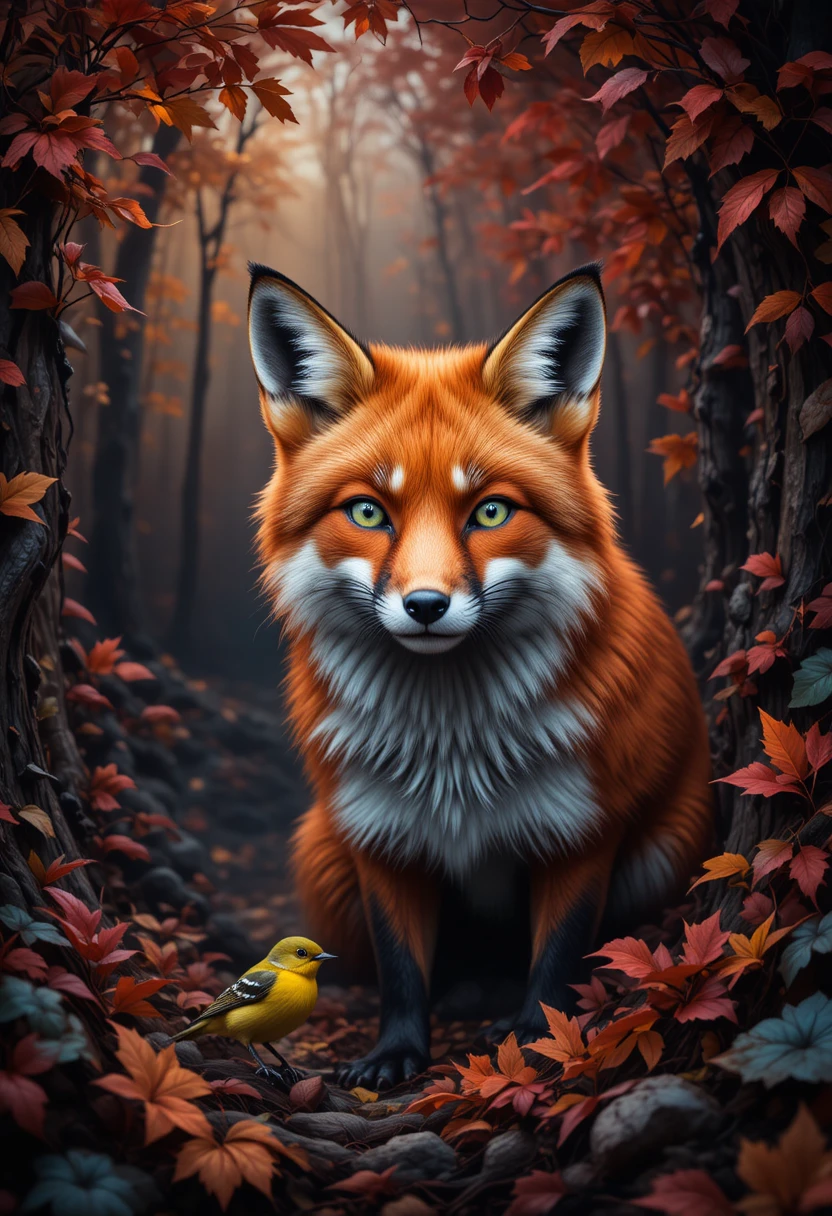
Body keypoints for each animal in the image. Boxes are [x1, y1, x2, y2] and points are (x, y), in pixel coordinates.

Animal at [247, 261, 712, 1090]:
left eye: (491, 511)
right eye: (368, 513)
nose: (426, 606)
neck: (454, 748)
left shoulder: (583, 824)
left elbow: (557, 957)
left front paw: (538, 1038)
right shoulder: (379, 834)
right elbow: (401, 968)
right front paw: (395, 1054)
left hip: (667, 846)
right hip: (321, 851)